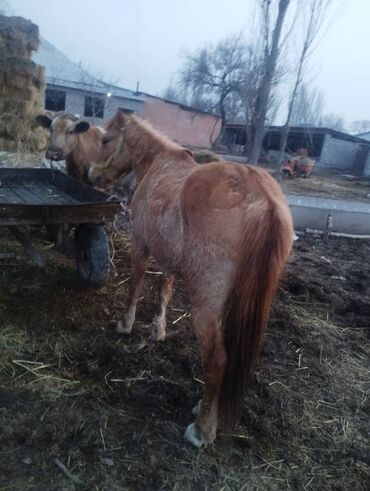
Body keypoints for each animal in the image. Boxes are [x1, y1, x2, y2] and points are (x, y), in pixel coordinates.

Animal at [88, 112, 294, 450]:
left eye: (106, 140)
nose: (92, 175)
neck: (158, 162)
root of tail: (266, 202)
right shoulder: (168, 258)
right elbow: (165, 290)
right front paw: (158, 331)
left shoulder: (139, 246)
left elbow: (135, 286)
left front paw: (125, 324)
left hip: (206, 305)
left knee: (217, 360)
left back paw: (202, 430)